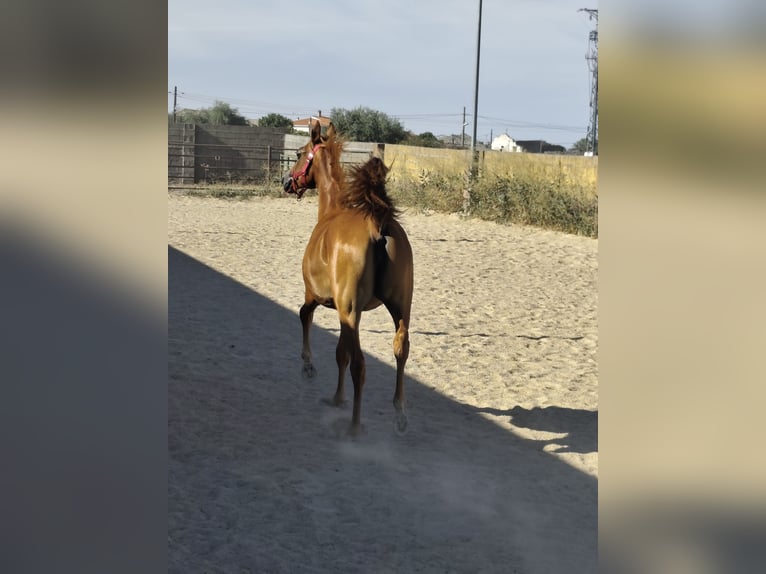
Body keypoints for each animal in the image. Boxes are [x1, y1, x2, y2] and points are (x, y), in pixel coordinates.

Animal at [283, 120, 414, 436]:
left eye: (299, 153)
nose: (286, 182)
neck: (333, 211)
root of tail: (378, 223)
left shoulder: (317, 297)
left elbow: (304, 316)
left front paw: (308, 366)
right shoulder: (347, 313)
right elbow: (340, 351)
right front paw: (337, 397)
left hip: (350, 310)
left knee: (360, 365)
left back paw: (354, 426)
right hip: (399, 308)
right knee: (400, 351)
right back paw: (399, 414)